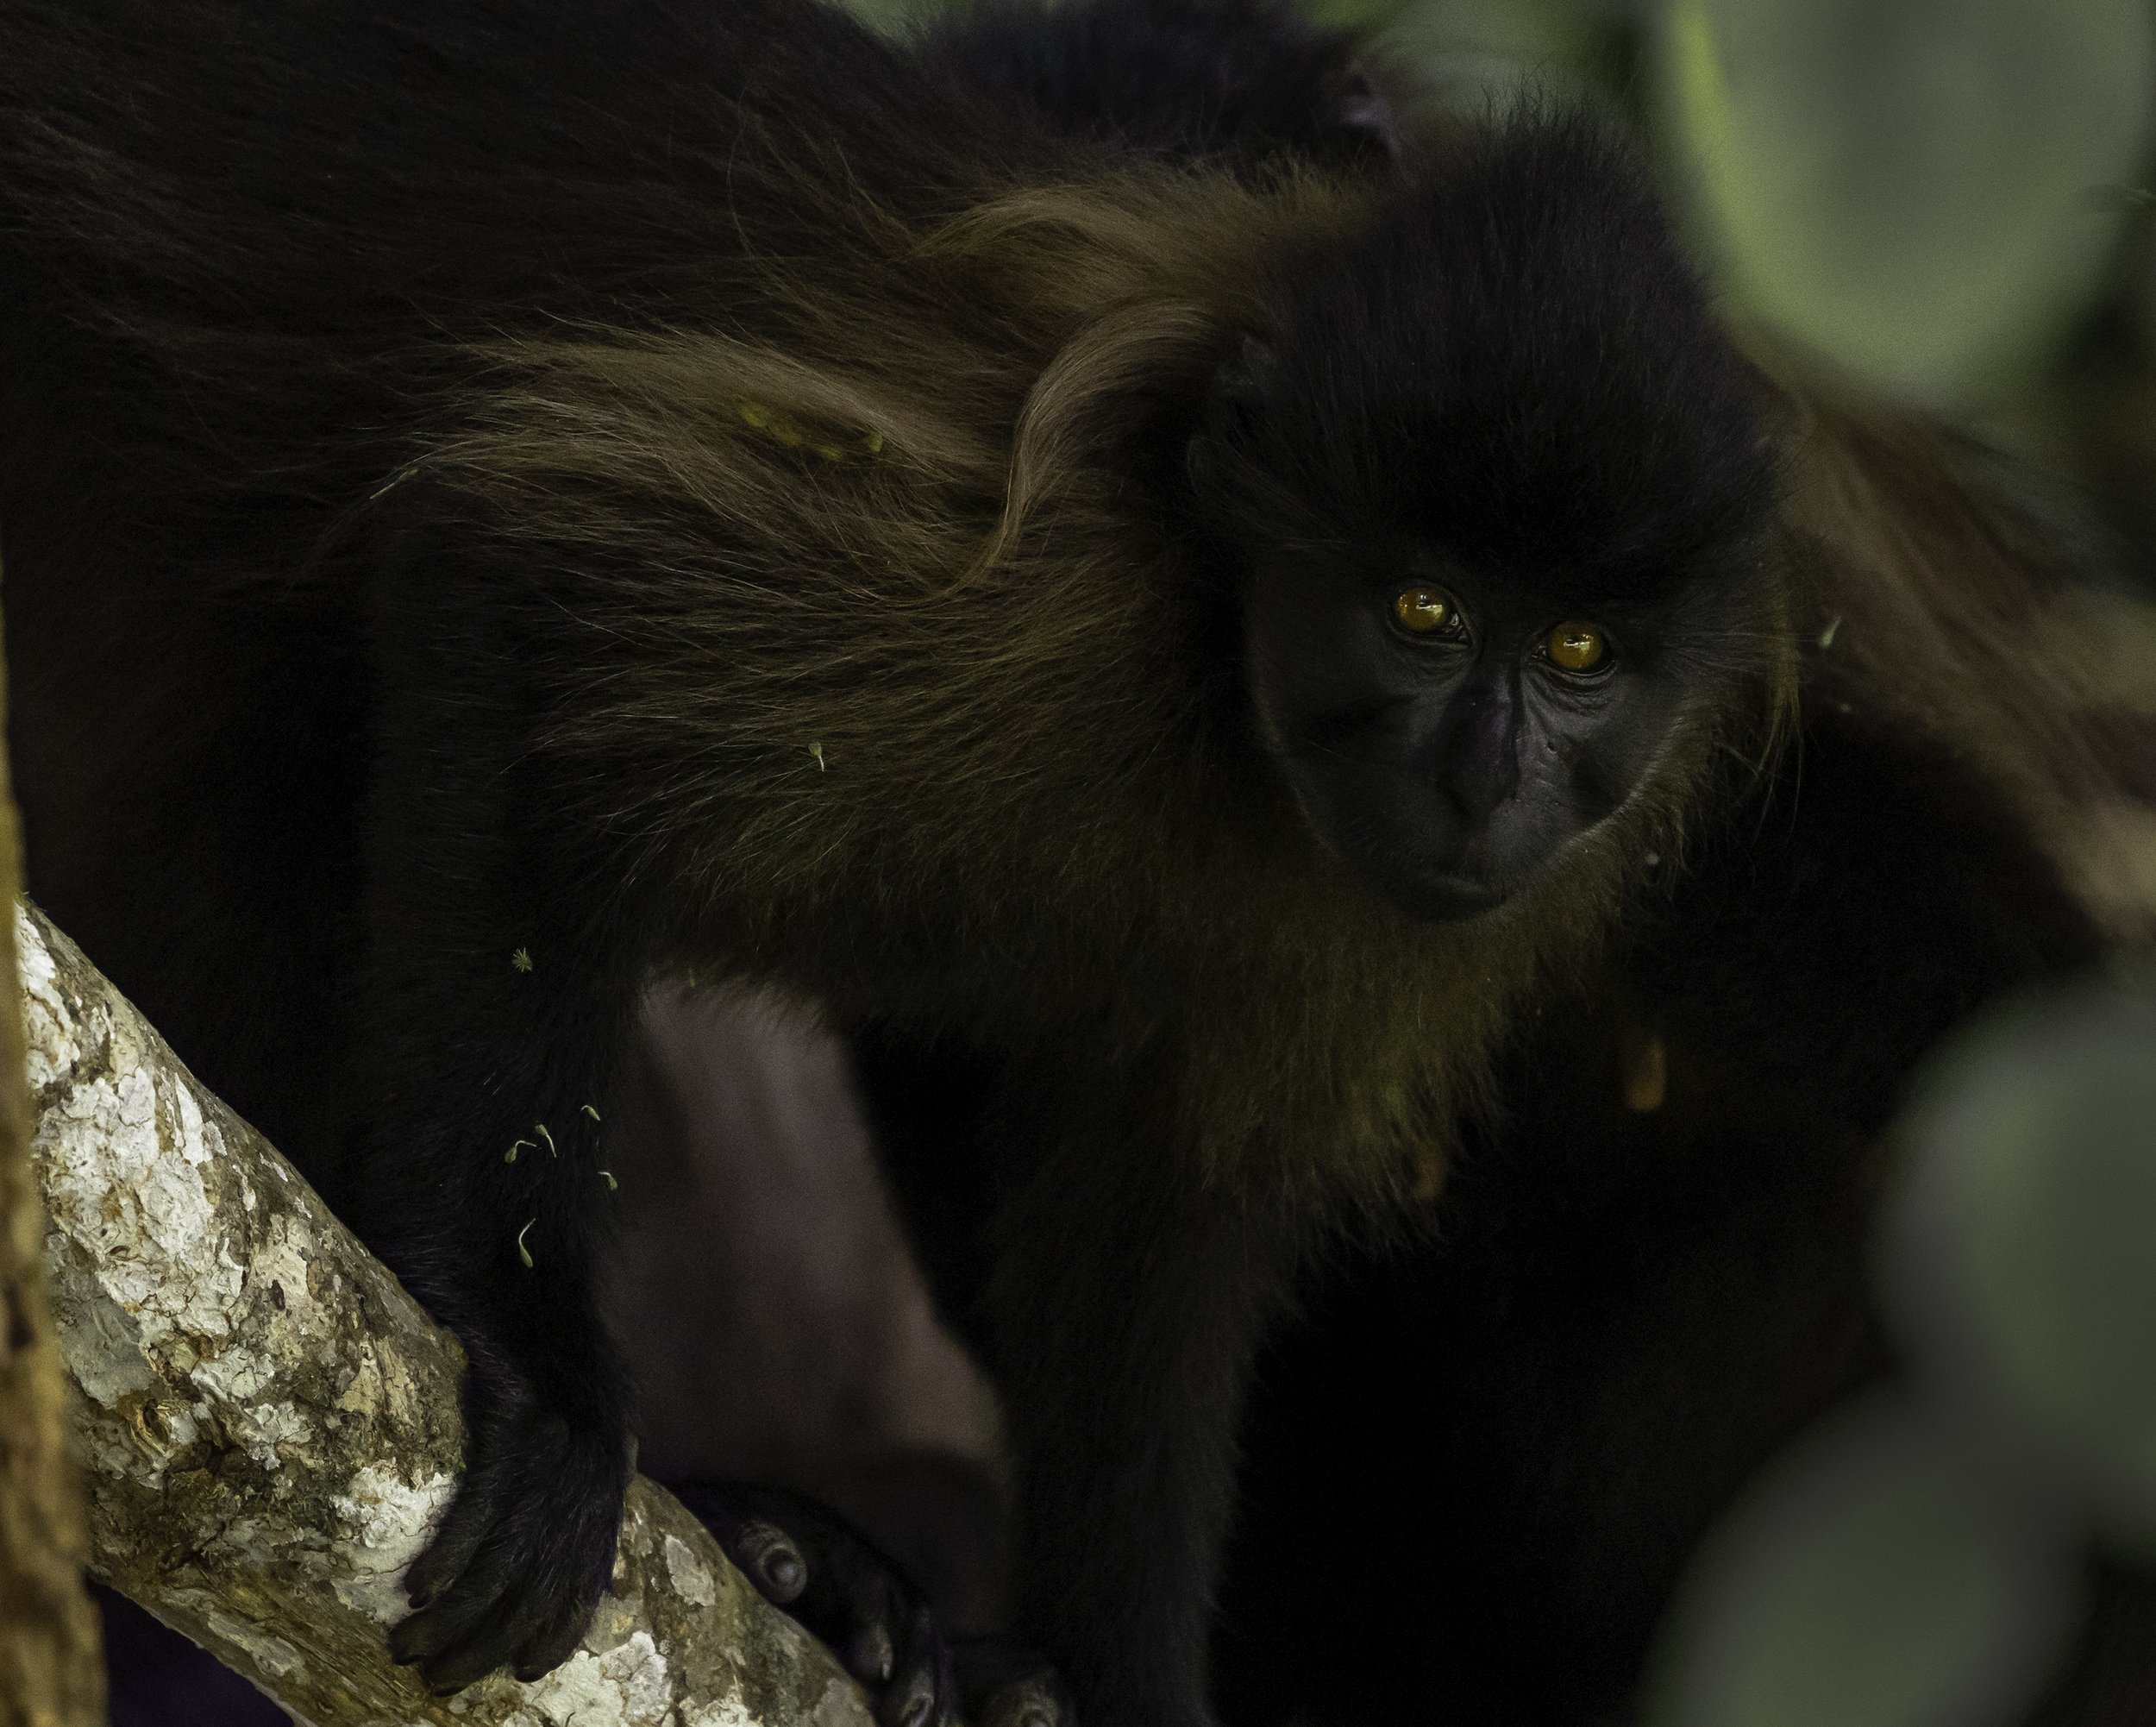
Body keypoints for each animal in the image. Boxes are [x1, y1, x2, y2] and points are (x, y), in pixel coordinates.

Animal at [0, 3, 1906, 1724]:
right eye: (1423, 612)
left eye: (1579, 649)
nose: (1484, 779)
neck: (1219, 694)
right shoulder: (1024, 566)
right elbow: (507, 583)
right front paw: (536, 1371)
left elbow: (1158, 1222)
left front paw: (1101, 1678)